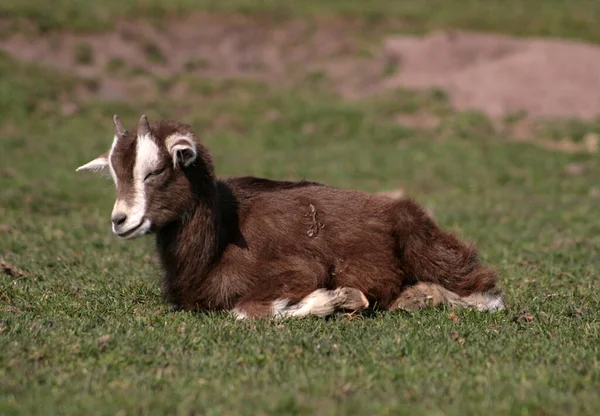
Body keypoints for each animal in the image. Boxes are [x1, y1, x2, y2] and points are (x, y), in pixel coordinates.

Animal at [76, 115, 506, 320]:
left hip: (431, 249)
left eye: (154, 171)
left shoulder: (299, 269)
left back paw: (426, 295)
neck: (219, 241)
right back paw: (413, 298)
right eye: (115, 174)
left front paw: (337, 299)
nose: (120, 220)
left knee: (487, 294)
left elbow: (244, 311)